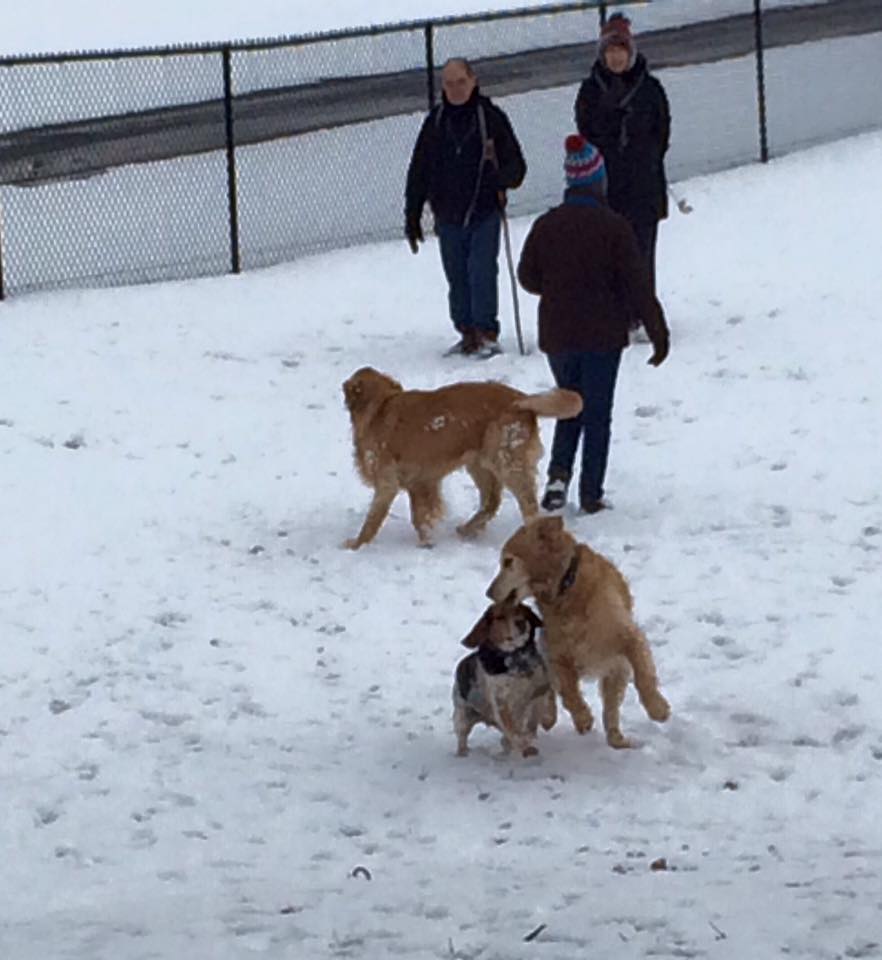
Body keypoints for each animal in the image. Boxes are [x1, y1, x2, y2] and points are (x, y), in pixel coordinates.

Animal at [340, 366, 580, 548]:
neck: (380, 406)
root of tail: (520, 399)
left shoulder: (388, 483)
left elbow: (373, 520)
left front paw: (357, 545)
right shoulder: (422, 483)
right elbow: (421, 517)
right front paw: (427, 542)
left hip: (507, 464)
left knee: (528, 506)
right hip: (480, 465)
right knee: (491, 502)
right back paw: (467, 529)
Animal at [450, 600, 552, 756]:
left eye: (520, 611)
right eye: (500, 617)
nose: (520, 622)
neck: (516, 656)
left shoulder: (539, 688)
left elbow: (535, 715)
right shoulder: (501, 703)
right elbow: (515, 732)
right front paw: (525, 743)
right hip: (462, 716)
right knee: (462, 737)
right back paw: (463, 753)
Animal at [488, 516, 668, 752]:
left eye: (508, 562)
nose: (488, 592)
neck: (566, 588)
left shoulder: (628, 638)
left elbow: (643, 674)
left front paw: (657, 707)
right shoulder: (557, 655)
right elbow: (569, 692)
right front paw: (582, 717)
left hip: (615, 672)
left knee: (610, 710)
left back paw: (616, 739)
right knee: (551, 692)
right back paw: (549, 717)